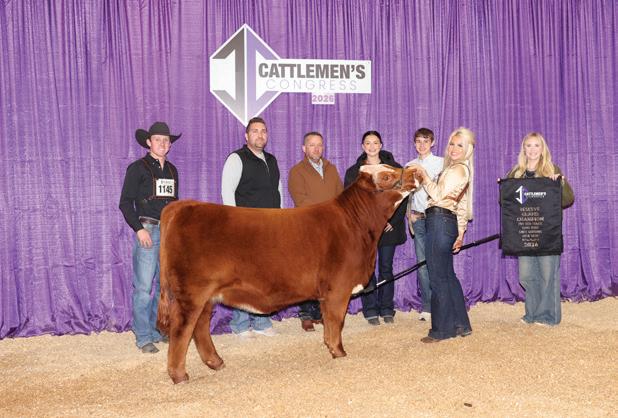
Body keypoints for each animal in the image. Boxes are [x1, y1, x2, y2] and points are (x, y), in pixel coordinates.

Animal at [157, 164, 420, 383]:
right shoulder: (338, 288)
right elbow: (337, 321)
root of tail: (183, 205)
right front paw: (339, 352)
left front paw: (331, 347)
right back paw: (179, 375)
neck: (357, 226)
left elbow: (329, 322)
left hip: (206, 296)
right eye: (386, 176)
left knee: (200, 327)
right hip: (191, 294)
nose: (414, 171)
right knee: (181, 330)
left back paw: (216, 362)